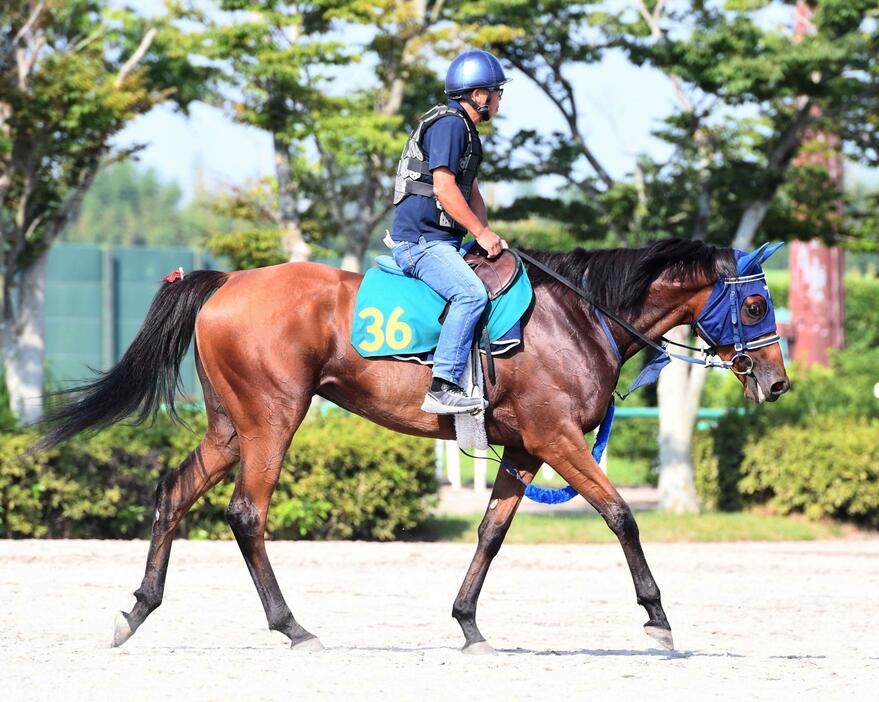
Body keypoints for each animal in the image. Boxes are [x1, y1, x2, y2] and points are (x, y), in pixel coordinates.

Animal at [37, 239, 792, 656]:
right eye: (756, 305)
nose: (779, 382)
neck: (580, 315)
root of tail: (227, 281)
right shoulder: (557, 438)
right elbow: (621, 516)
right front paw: (657, 618)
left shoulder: (525, 449)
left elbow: (490, 533)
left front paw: (468, 624)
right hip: (270, 422)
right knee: (247, 515)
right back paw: (292, 627)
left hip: (228, 428)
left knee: (173, 494)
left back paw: (137, 610)